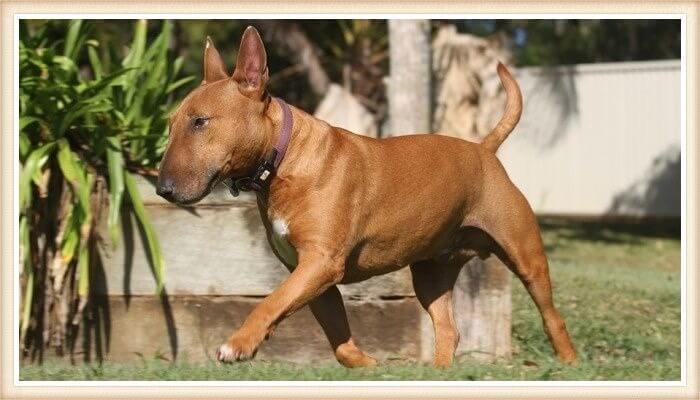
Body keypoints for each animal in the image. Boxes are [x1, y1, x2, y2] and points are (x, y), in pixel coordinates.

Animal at [160, 26, 580, 368]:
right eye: (171, 124)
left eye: (200, 122)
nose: (162, 188)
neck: (284, 159)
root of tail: (483, 149)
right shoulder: (311, 276)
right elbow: (339, 344)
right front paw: (370, 365)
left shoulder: (320, 263)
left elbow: (270, 302)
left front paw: (238, 344)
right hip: (430, 274)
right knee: (448, 328)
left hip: (526, 255)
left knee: (552, 316)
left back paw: (569, 362)